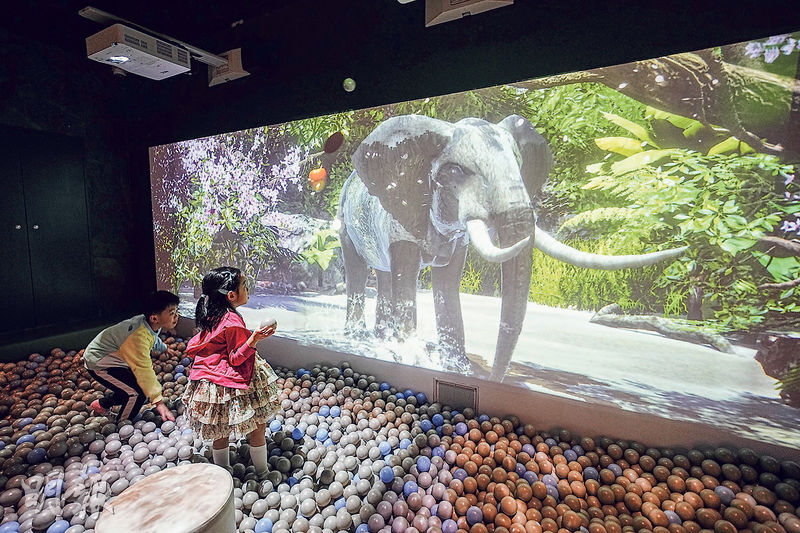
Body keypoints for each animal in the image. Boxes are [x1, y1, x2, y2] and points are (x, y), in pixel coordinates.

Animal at [338, 114, 688, 380]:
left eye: (519, 165)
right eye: (455, 171)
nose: (494, 379)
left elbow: (448, 283)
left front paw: (457, 369)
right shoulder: (401, 214)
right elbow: (408, 274)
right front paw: (409, 359)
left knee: (384, 275)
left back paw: (379, 340)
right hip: (344, 219)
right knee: (359, 269)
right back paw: (358, 339)